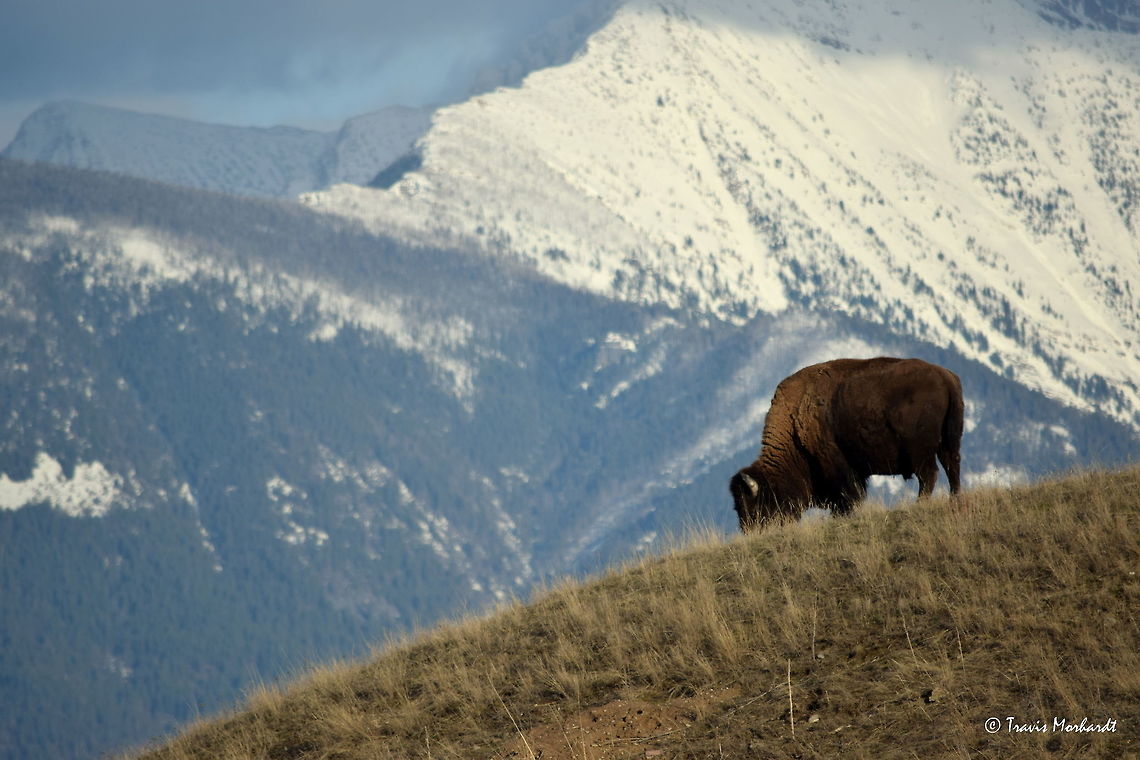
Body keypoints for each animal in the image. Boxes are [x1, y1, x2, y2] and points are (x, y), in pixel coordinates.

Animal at [729, 357, 963, 533]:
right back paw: (954, 498)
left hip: (920, 452)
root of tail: (945, 377)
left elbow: (849, 497)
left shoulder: (838, 469)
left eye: (755, 506)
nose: (750, 532)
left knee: (929, 475)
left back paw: (920, 504)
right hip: (948, 443)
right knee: (951, 467)